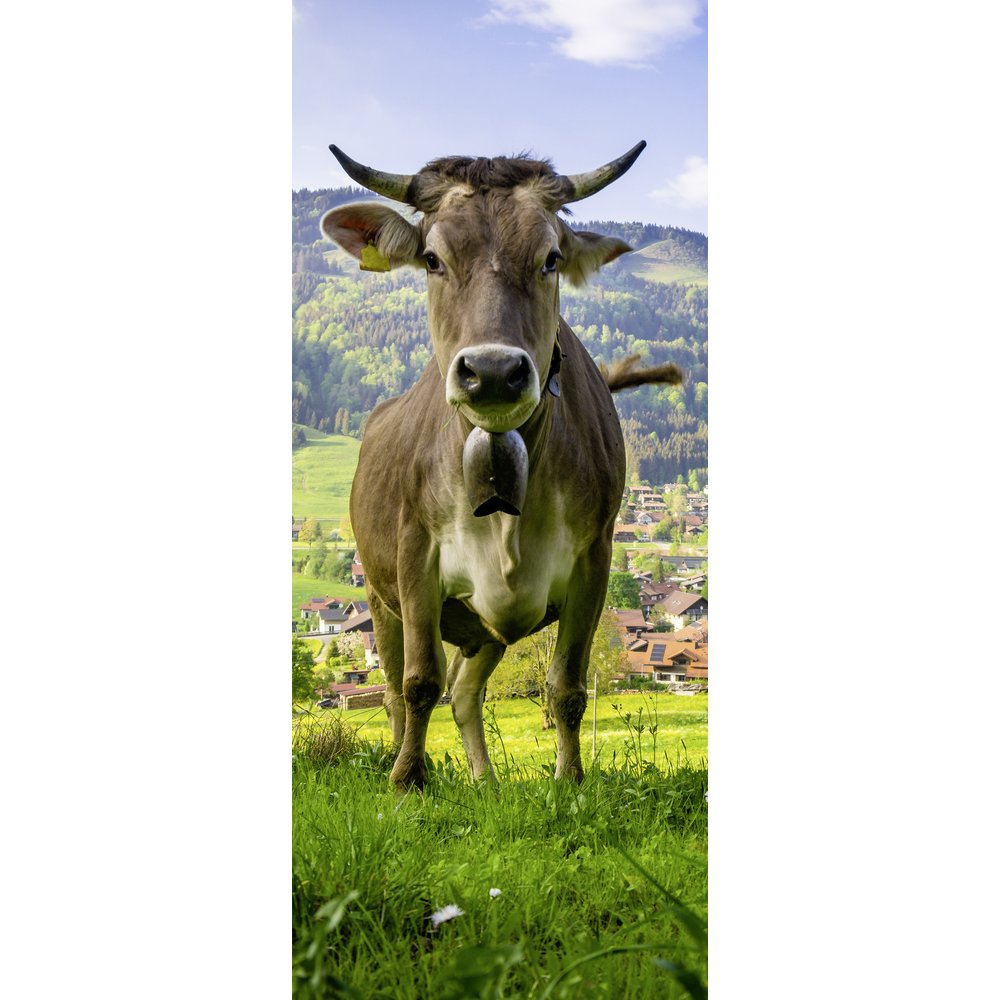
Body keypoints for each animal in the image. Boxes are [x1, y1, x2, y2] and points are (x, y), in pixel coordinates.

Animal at [320, 142, 683, 790]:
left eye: (551, 258)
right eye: (432, 259)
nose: (491, 372)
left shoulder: (594, 557)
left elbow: (567, 687)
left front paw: (570, 783)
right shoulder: (415, 555)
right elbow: (419, 683)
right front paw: (408, 782)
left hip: (484, 626)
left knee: (466, 693)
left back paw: (485, 782)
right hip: (382, 599)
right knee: (395, 692)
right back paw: (404, 760)